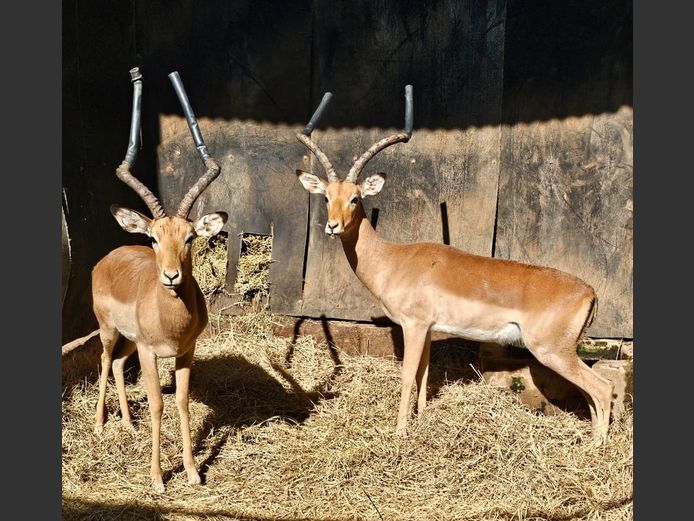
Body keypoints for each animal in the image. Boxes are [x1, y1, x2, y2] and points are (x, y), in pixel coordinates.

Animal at [89, 69, 226, 492]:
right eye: (152, 237)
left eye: (190, 237)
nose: (171, 275)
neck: (171, 320)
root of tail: (108, 257)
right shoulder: (151, 353)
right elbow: (157, 403)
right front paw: (157, 478)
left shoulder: (185, 351)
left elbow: (180, 402)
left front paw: (194, 472)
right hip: (109, 331)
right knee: (104, 360)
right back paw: (100, 426)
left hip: (130, 341)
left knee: (118, 365)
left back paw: (127, 424)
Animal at [294, 87, 614, 443]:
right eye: (326, 197)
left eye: (354, 198)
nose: (332, 226)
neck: (393, 259)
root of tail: (589, 292)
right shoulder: (428, 330)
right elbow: (424, 374)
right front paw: (421, 419)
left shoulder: (414, 325)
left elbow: (408, 376)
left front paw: (400, 433)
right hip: (564, 352)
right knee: (592, 392)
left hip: (551, 351)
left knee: (603, 388)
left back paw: (596, 446)